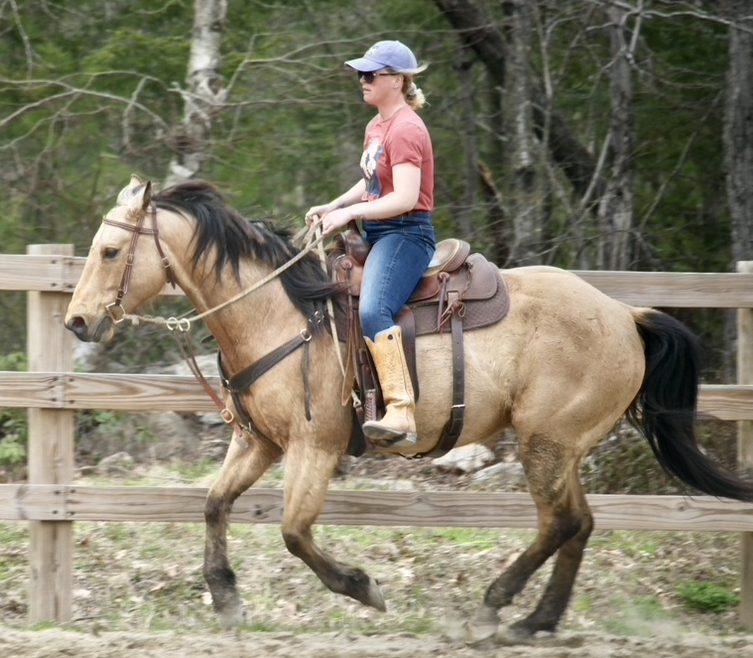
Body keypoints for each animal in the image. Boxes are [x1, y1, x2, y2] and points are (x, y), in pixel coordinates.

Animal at [65, 176, 753, 641]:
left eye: (109, 252)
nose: (77, 322)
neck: (281, 315)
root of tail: (625, 314)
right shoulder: (257, 442)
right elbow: (213, 505)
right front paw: (227, 599)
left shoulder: (315, 448)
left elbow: (293, 532)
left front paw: (364, 588)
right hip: (560, 448)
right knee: (578, 524)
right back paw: (536, 620)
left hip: (547, 444)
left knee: (560, 524)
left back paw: (497, 604)